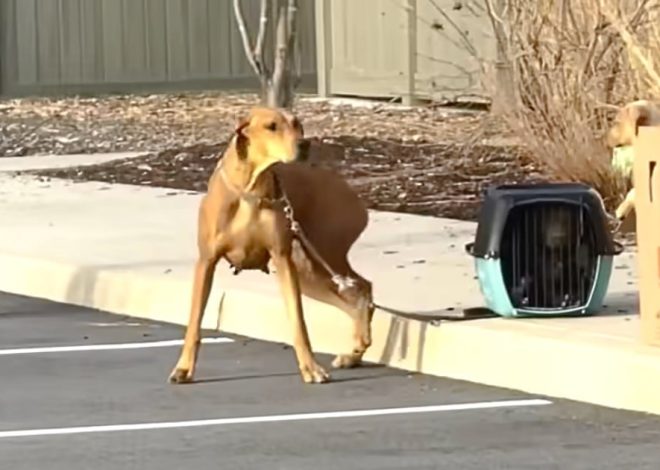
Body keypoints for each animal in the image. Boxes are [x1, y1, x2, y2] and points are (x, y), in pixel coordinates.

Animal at [168, 106, 374, 386]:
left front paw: (311, 368)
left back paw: (355, 349)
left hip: (318, 256)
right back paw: (354, 353)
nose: (304, 144)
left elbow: (299, 323)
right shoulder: (206, 261)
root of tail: (348, 189)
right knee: (357, 296)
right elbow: (194, 323)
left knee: (362, 289)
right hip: (310, 270)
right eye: (271, 126)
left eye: (298, 124)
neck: (250, 188)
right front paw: (183, 368)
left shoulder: (283, 259)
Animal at [464, 182, 624, 318]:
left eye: (565, 217)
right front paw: (521, 290)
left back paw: (569, 299)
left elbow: (584, 265)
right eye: (550, 217)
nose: (558, 229)